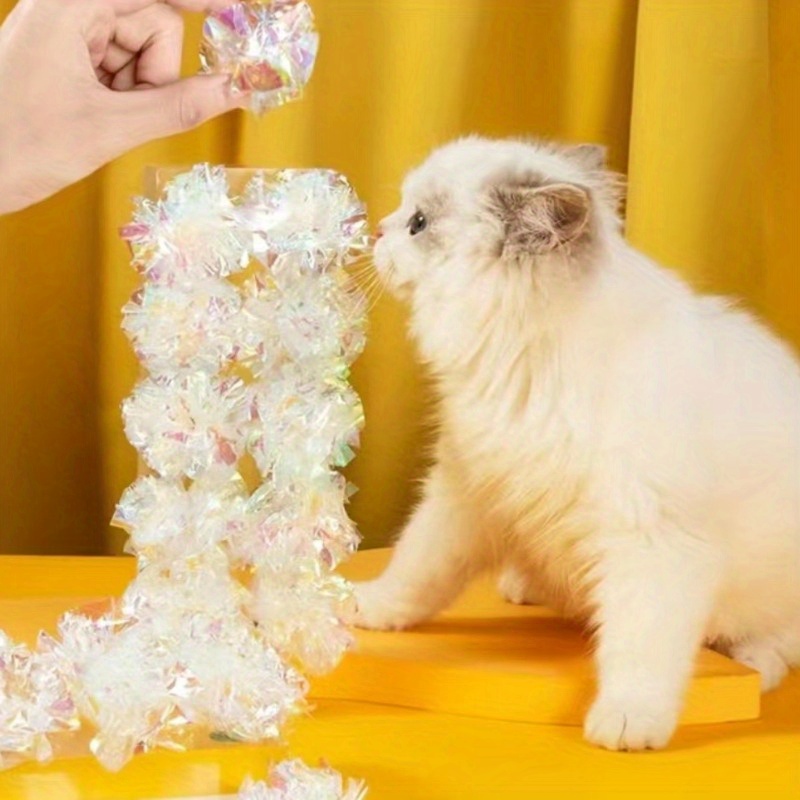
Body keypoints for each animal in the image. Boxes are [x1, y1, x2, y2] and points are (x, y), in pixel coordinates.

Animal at [354, 136, 800, 752]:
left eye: (418, 222)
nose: (377, 229)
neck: (532, 357)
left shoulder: (652, 540)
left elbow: (639, 648)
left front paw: (629, 719)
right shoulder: (465, 492)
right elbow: (416, 568)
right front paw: (374, 608)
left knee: (778, 644)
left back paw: (751, 660)